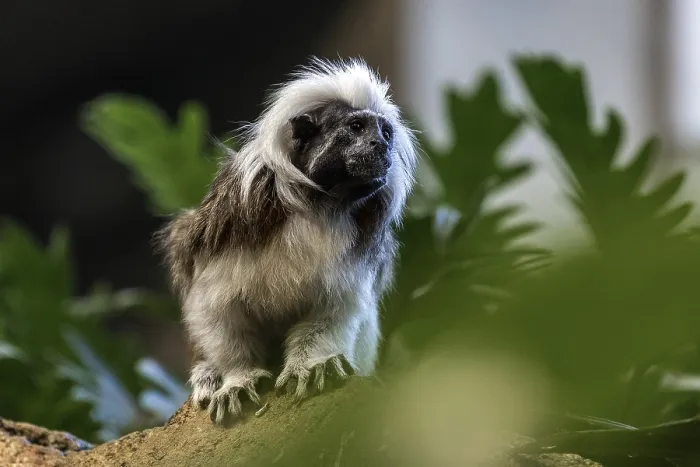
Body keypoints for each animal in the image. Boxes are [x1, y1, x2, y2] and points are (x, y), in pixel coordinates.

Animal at [156, 57, 419, 424]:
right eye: (356, 127)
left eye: (385, 132)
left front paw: (311, 366)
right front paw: (237, 379)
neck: (322, 205)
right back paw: (207, 376)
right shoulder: (231, 223)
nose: (381, 146)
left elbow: (333, 312)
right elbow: (215, 310)